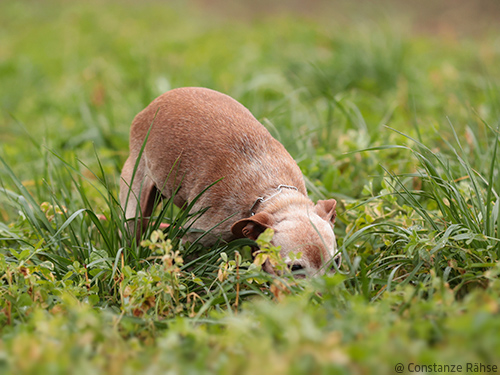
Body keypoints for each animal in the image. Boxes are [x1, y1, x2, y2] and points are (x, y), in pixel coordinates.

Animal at [120, 87, 340, 276]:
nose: (325, 292)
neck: (271, 192)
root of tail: (153, 104)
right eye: (295, 268)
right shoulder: (196, 236)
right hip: (135, 195)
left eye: (336, 262)